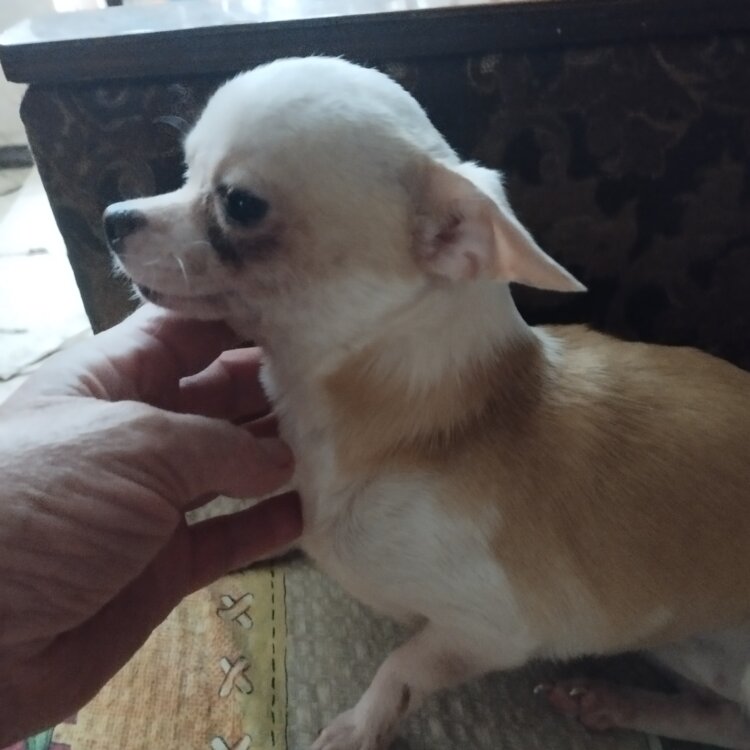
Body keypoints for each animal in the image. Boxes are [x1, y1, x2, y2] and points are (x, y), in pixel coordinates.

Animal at [105, 57, 750, 749]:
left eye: (239, 203)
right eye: (185, 171)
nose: (113, 216)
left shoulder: (491, 630)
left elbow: (402, 666)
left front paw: (359, 728)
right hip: (684, 645)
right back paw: (612, 702)